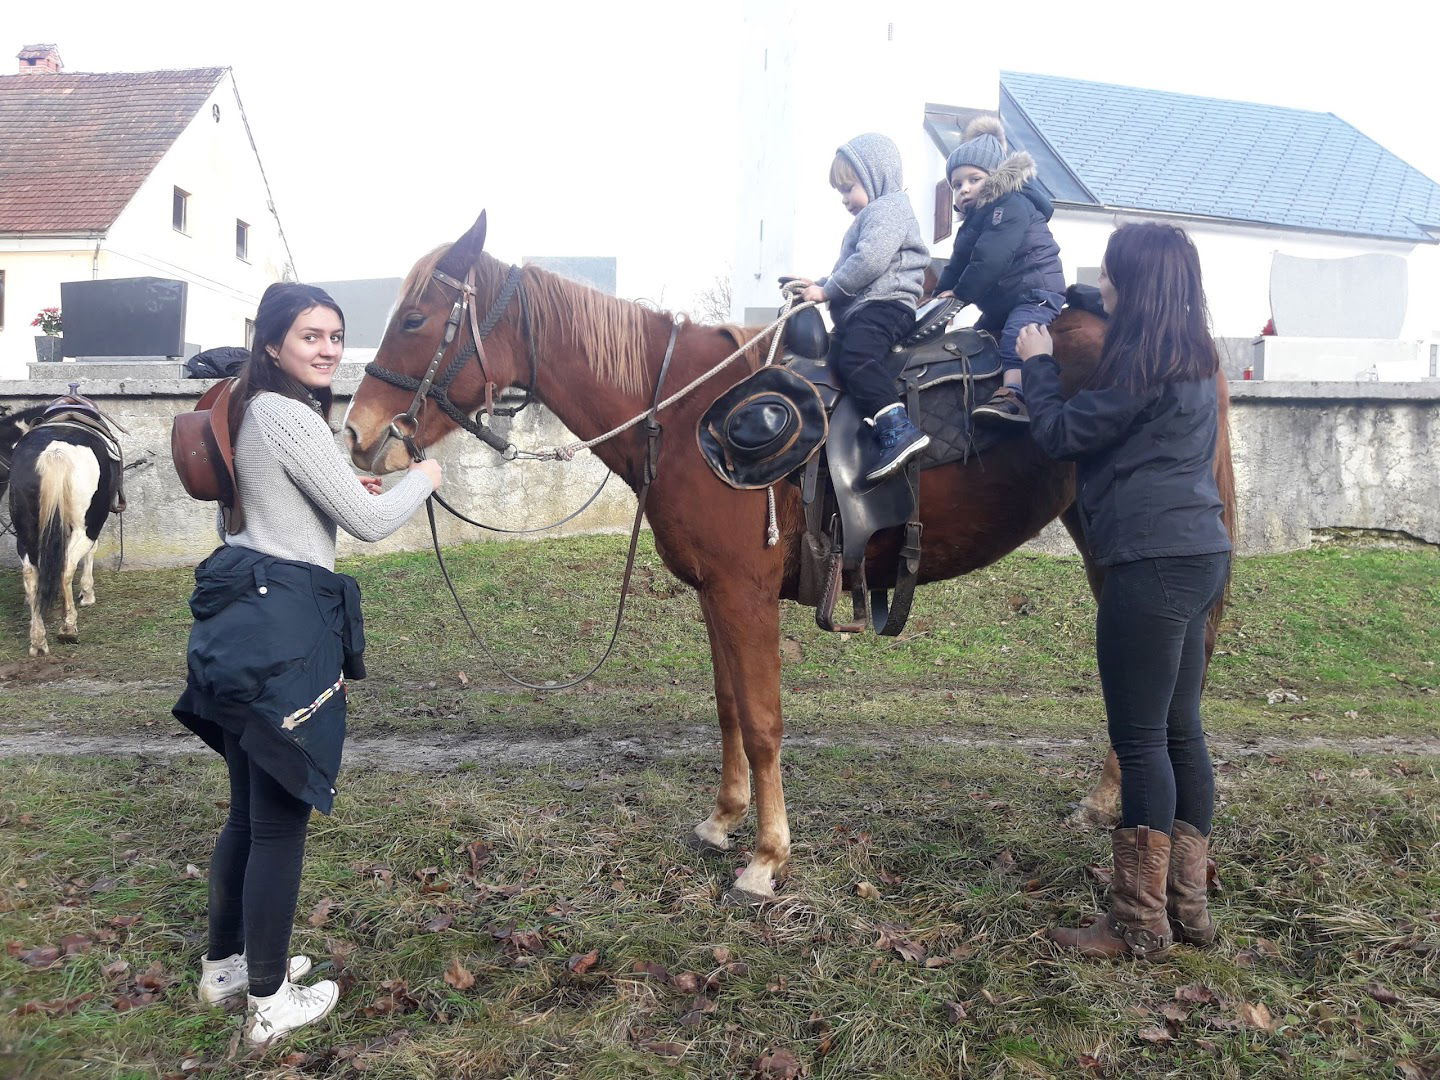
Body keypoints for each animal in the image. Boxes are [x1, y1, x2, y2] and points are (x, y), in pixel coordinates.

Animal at [342, 213, 1232, 904]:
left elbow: (766, 721)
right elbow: (729, 707)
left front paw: (768, 858)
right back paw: (1106, 802)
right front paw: (724, 819)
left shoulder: (744, 592)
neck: (687, 412)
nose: (358, 432)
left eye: (416, 317)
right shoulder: (714, 593)